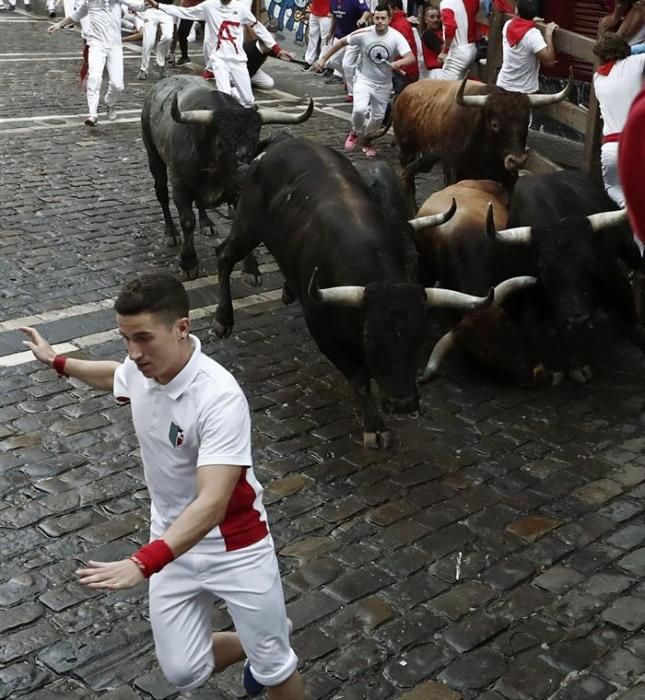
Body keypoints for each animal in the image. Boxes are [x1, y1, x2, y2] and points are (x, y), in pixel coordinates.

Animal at [140, 78, 314, 280]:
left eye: (255, 140)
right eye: (221, 142)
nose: (245, 173)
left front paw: (251, 268)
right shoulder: (180, 187)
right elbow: (188, 221)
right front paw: (189, 262)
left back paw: (207, 223)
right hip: (154, 157)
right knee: (161, 194)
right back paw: (171, 233)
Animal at [214, 138, 490, 448]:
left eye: (419, 337)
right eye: (370, 337)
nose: (403, 404)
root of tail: (278, 144)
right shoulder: (323, 330)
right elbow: (359, 380)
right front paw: (375, 427)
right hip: (247, 225)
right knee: (224, 255)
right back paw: (223, 319)